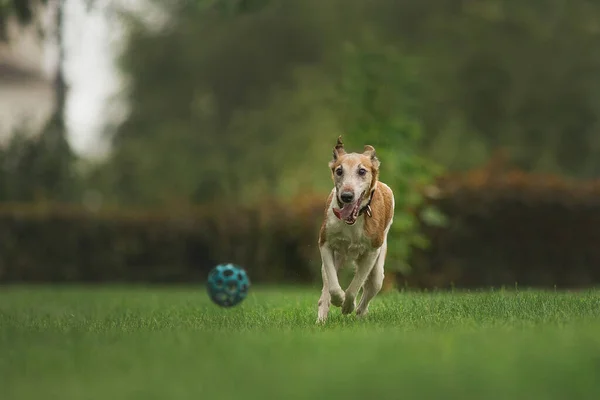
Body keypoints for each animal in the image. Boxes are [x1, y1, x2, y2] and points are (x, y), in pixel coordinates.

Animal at [316, 136, 396, 324]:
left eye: (362, 171)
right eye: (339, 171)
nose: (346, 196)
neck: (353, 221)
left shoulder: (372, 251)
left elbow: (356, 285)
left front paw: (347, 306)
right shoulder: (325, 243)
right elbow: (333, 284)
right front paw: (339, 299)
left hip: (378, 271)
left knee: (370, 288)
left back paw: (360, 313)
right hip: (335, 258)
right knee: (326, 283)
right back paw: (322, 317)